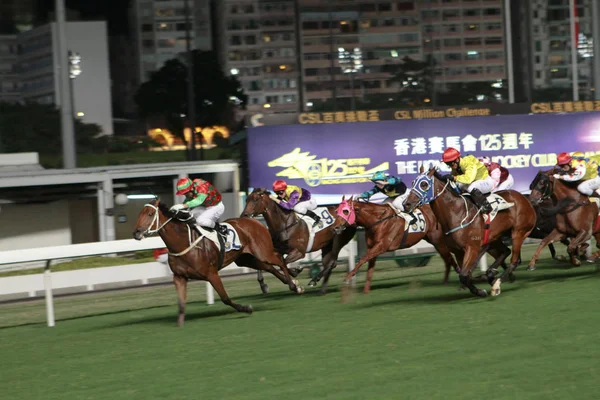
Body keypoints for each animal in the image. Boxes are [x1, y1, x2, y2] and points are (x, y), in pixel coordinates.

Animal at [133, 198, 302, 326]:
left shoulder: (211, 273)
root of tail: (255, 221)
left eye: (150, 214)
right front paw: (179, 324)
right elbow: (181, 304)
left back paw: (294, 284)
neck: (182, 242)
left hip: (263, 252)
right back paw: (290, 280)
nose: (136, 233)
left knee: (279, 259)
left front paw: (246, 308)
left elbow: (225, 298)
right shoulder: (179, 277)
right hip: (245, 259)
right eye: (139, 214)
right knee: (269, 267)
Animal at [332, 197, 460, 294]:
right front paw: (366, 291)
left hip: (438, 240)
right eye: (337, 211)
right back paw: (447, 280)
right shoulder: (372, 248)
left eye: (345, 211)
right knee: (448, 258)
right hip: (436, 241)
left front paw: (347, 278)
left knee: (449, 258)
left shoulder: (381, 246)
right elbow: (370, 269)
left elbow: (363, 259)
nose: (335, 227)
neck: (377, 219)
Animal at [404, 168, 536, 296]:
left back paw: (496, 285)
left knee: (514, 261)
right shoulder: (458, 251)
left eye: (424, 184)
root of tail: (524, 198)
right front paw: (481, 283)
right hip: (495, 238)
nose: (406, 204)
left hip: (518, 232)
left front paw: (481, 290)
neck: (456, 213)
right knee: (505, 252)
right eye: (413, 183)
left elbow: (464, 275)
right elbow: (465, 274)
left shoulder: (472, 247)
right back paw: (490, 273)